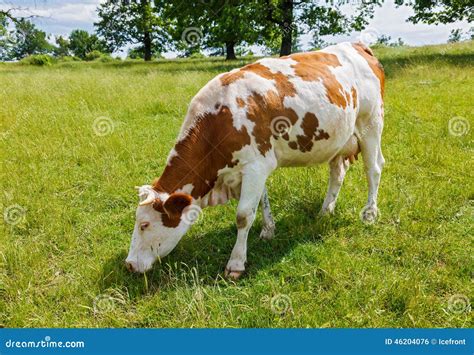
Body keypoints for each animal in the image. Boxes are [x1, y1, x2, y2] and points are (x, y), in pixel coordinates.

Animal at [126, 41, 386, 280]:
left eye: (144, 225)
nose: (128, 264)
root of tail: (357, 45)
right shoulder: (253, 167)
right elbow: (262, 200)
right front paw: (268, 230)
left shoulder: (256, 166)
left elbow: (243, 216)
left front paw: (236, 263)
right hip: (338, 139)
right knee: (337, 173)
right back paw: (325, 211)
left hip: (371, 124)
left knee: (373, 169)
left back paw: (370, 214)